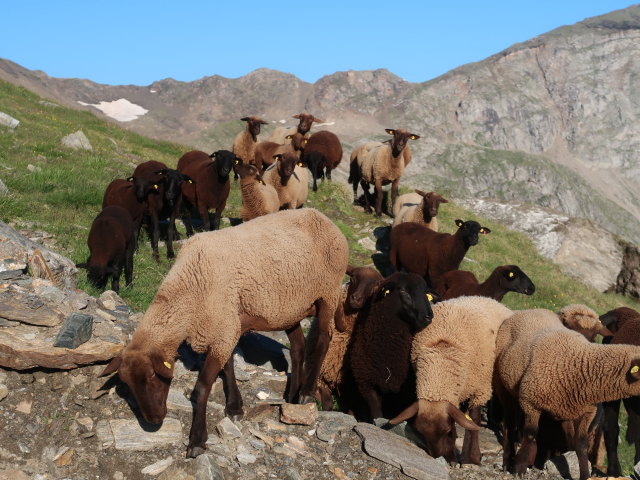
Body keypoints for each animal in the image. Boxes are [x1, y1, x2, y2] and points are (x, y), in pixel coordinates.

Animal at [348, 272, 438, 422]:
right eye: (404, 291)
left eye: (426, 293)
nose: (428, 316)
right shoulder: (368, 386)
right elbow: (377, 415)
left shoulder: (405, 393)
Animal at [390, 296, 516, 464]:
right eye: (421, 433)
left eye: (449, 432)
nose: (441, 458)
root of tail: (489, 299)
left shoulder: (480, 388)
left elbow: (474, 420)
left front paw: (471, 457)